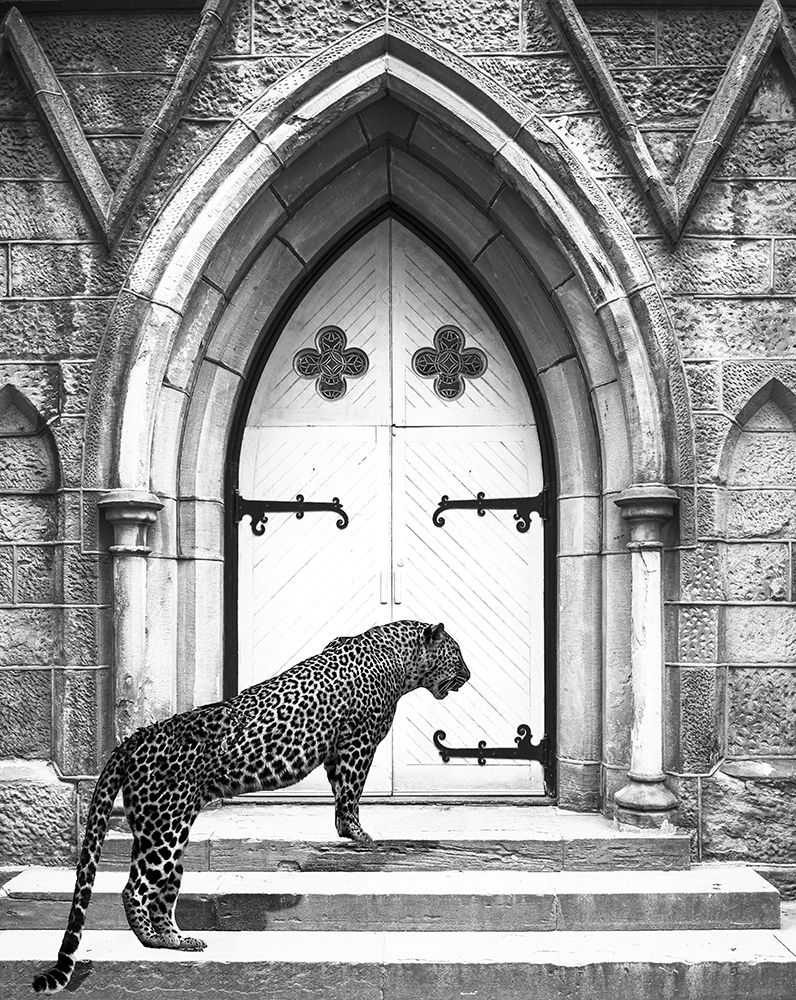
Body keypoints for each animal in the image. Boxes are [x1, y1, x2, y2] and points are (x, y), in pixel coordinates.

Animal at [32, 620, 470, 994]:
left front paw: (347, 830)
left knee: (161, 894)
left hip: (159, 833)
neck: (398, 658)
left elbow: (340, 790)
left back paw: (177, 941)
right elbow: (351, 790)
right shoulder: (357, 743)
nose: (468, 676)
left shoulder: (336, 750)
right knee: (133, 889)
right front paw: (357, 834)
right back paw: (152, 941)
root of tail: (133, 738)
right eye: (456, 654)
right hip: (165, 832)